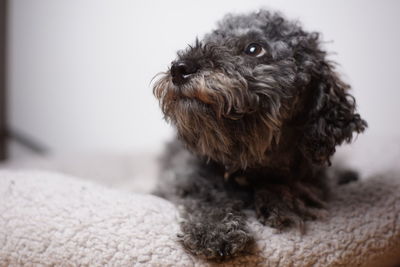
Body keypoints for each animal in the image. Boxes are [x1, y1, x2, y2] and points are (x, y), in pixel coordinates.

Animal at [152, 9, 368, 260]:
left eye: (254, 49)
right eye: (210, 38)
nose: (179, 68)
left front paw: (282, 197)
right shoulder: (180, 178)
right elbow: (204, 195)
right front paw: (214, 229)